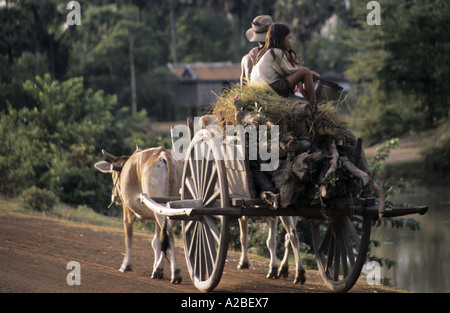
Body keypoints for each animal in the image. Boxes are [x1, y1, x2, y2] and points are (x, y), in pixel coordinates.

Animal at [94, 146, 184, 282]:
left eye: (113, 174)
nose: (114, 196)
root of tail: (163, 153)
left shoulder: (127, 211)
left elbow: (129, 238)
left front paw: (125, 265)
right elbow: (156, 241)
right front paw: (158, 268)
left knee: (169, 234)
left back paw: (176, 272)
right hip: (170, 208)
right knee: (166, 236)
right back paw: (162, 270)